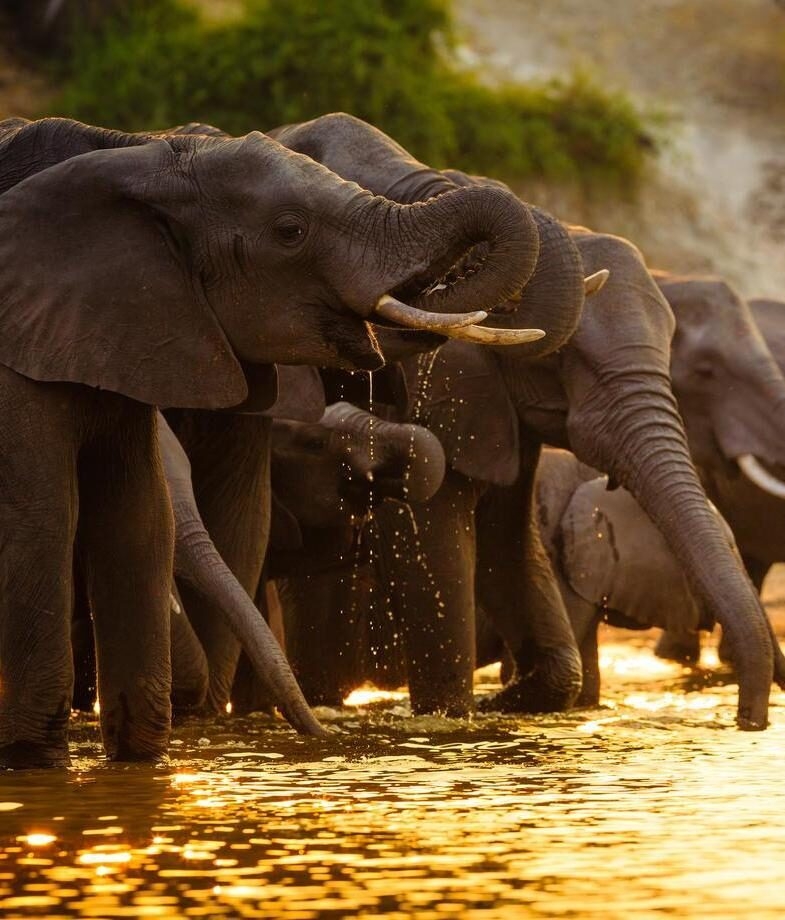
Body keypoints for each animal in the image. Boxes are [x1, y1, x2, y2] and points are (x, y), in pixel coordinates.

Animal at [0, 116, 538, 768]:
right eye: (289, 231)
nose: (325, 736)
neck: (134, 153)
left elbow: (140, 520)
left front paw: (140, 766)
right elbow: (42, 521)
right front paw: (36, 765)